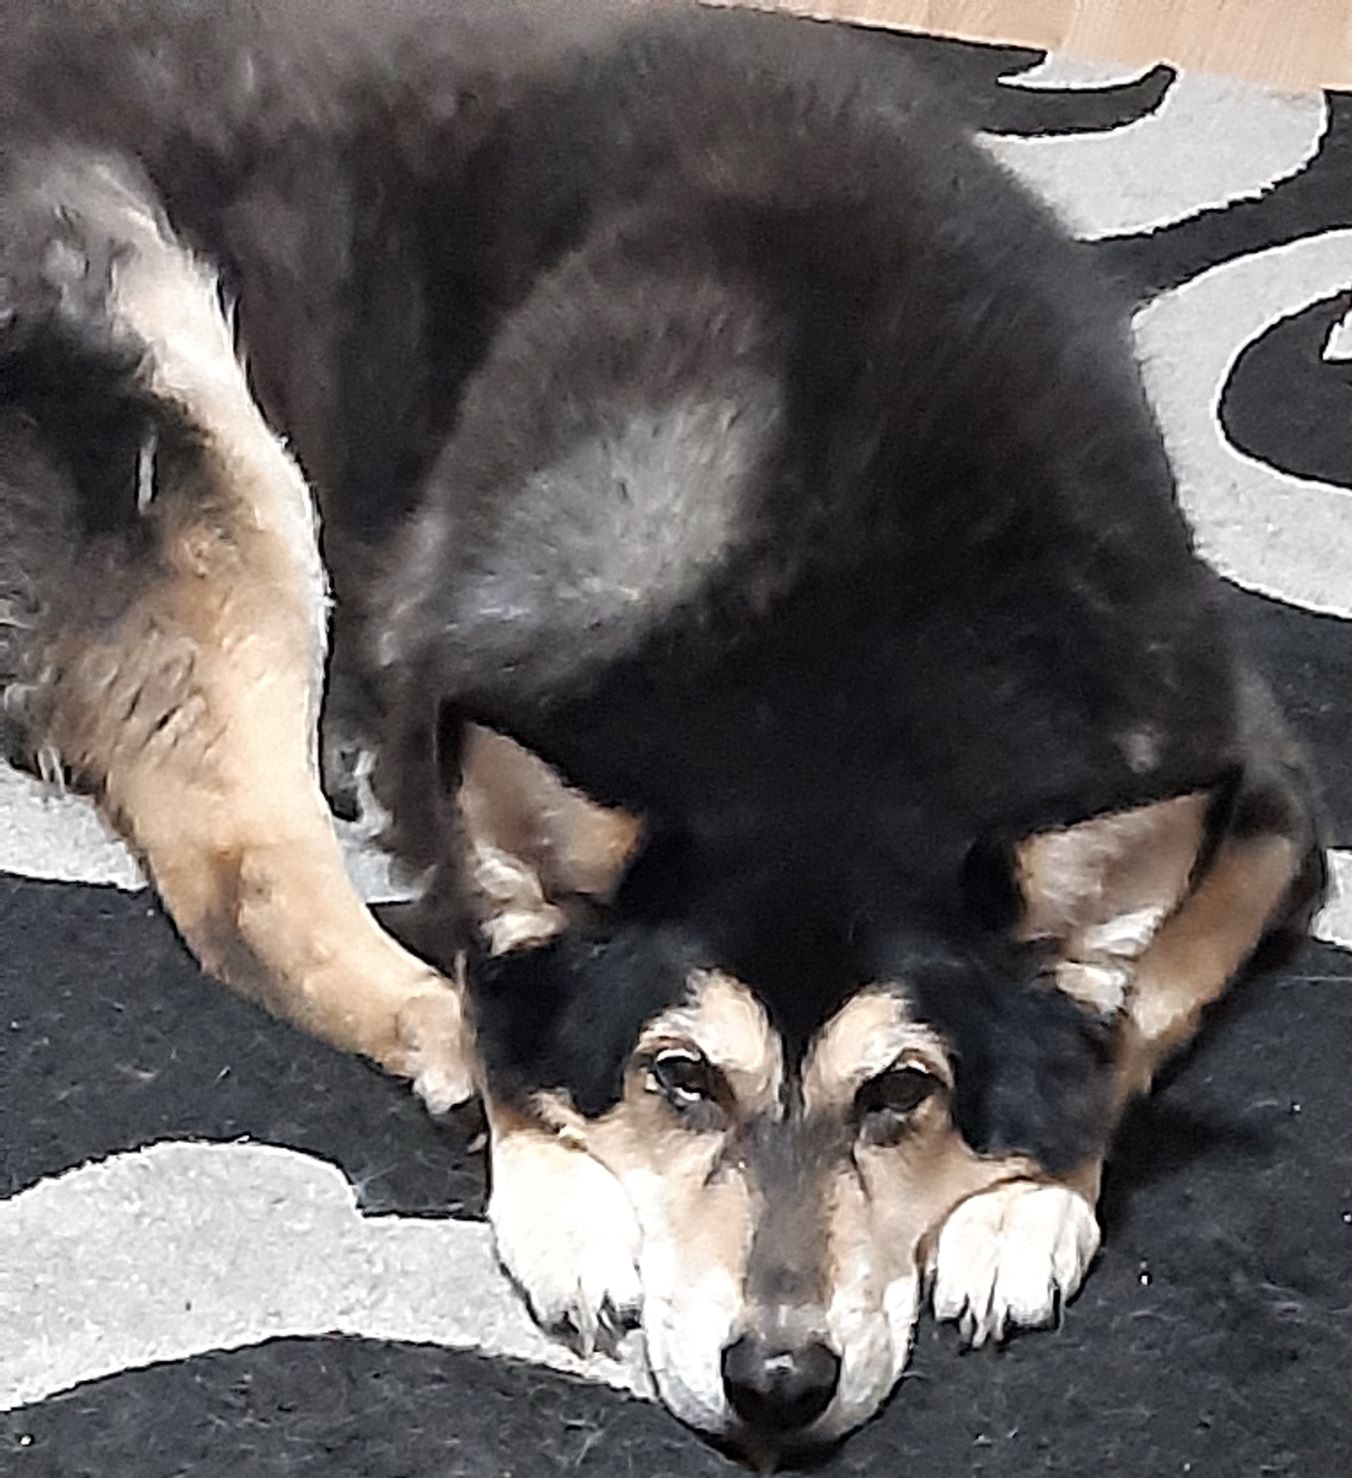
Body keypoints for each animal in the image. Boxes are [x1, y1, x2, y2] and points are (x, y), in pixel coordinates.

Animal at [0, 0, 1329, 1460]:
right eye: (678, 1077)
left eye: (901, 1096)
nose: (776, 1382)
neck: (841, 639)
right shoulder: (462, 716)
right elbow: (508, 974)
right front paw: (560, 1186)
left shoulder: (1257, 785)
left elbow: (1134, 998)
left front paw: (1025, 1194)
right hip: (181, 397)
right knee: (244, 875)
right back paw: (426, 1017)